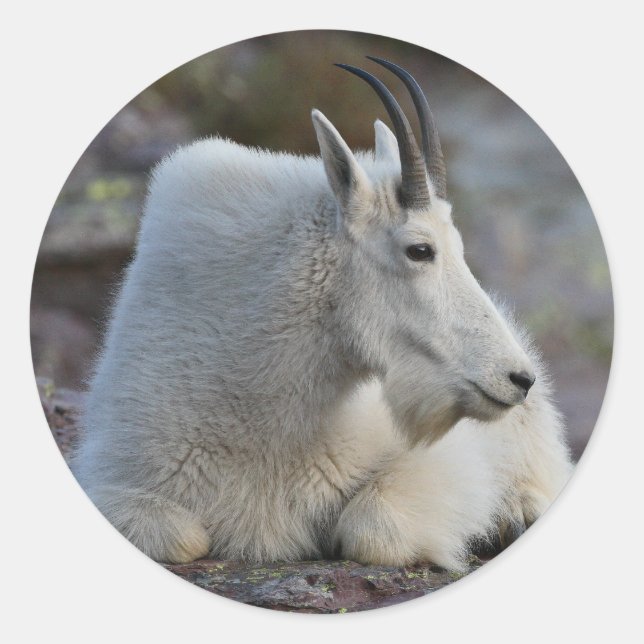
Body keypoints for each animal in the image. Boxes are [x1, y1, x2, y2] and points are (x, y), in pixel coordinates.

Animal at [72, 57, 573, 571]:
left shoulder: (442, 463)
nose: (518, 378)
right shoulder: (112, 474)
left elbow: (369, 530)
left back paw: (516, 512)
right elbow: (182, 537)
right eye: (420, 249)